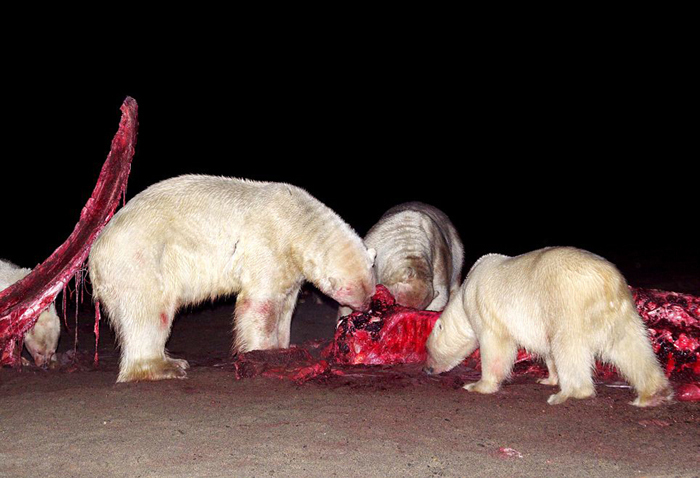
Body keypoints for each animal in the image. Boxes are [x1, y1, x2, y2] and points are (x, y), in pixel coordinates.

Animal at [91, 175, 380, 380]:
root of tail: (96, 250)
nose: (367, 307)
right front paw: (263, 353)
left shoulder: (290, 266)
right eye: (356, 294)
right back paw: (165, 366)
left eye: (371, 288)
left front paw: (283, 346)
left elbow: (286, 305)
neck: (298, 220)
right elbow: (261, 303)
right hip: (140, 258)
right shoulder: (268, 243)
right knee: (150, 312)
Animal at [424, 246, 676, 408]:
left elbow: (496, 345)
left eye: (427, 348)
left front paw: (478, 385)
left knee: (568, 346)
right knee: (632, 346)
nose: (427, 369)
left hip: (568, 303)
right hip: (620, 311)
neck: (466, 291)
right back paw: (653, 394)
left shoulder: (485, 308)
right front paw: (548, 378)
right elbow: (547, 350)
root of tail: (605, 281)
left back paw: (569, 393)